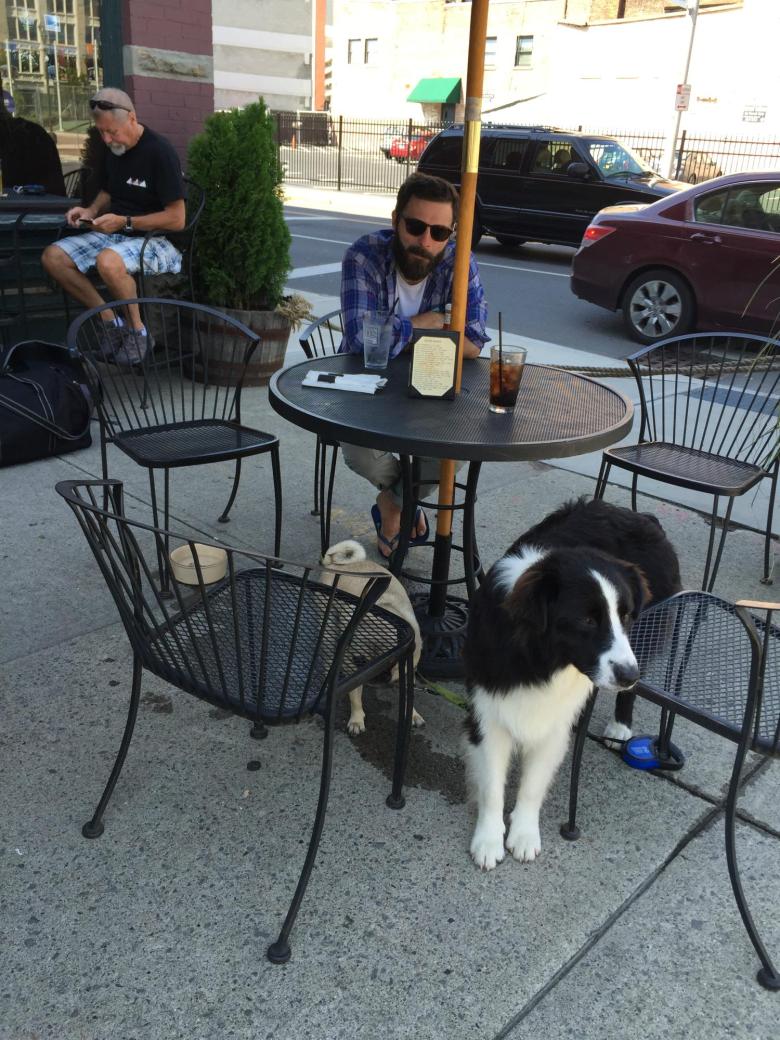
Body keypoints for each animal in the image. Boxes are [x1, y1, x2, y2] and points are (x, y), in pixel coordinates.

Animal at [320, 540, 424, 736]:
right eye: (359, 661)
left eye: (394, 660)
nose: (378, 675)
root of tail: (337, 564)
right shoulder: (351, 666)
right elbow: (355, 693)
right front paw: (356, 718)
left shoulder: (409, 667)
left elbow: (410, 695)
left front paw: (413, 715)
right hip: (328, 627)